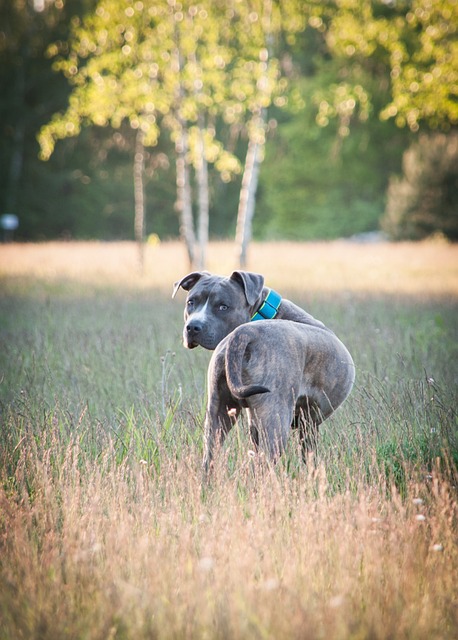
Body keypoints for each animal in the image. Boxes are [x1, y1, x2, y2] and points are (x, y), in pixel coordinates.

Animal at [172, 270, 354, 470]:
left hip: (217, 413)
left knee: (209, 457)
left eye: (223, 307)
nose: (193, 327)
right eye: (191, 302)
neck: (262, 313)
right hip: (275, 421)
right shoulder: (308, 425)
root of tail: (245, 332)